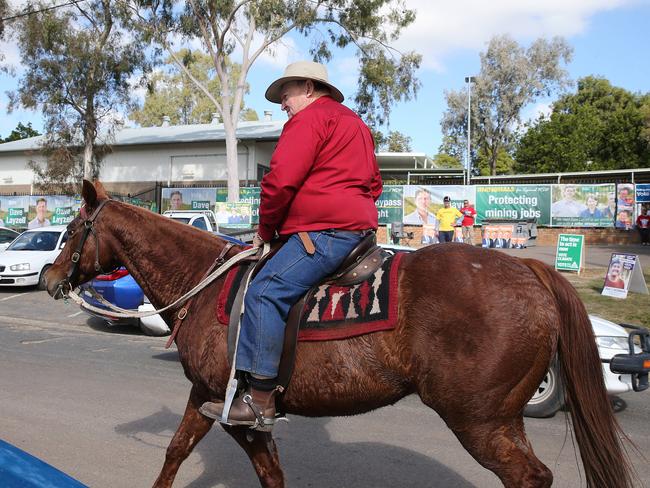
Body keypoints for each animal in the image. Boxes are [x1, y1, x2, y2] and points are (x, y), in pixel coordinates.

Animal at [45, 182, 632, 488]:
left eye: (73, 229)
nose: (50, 277)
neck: (203, 283)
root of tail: (529, 272)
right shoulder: (207, 396)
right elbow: (192, 453)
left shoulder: (230, 405)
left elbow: (222, 459)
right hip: (502, 419)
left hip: (481, 421)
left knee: (528, 478)